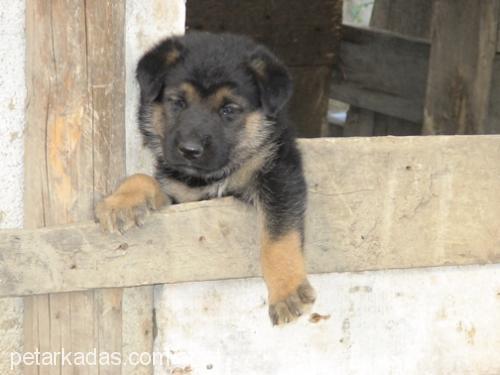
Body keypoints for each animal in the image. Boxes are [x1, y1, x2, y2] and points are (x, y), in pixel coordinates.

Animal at [96, 31, 316, 326]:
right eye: (177, 102)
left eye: (229, 110)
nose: (189, 150)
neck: (211, 177)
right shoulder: (181, 198)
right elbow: (144, 178)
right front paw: (122, 202)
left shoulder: (279, 175)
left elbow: (279, 235)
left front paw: (287, 290)